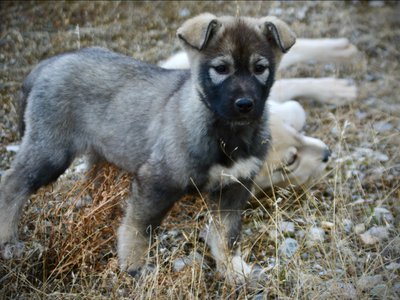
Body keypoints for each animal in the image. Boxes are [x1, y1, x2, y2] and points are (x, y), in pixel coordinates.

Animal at [0, 13, 294, 276]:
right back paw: (8, 240)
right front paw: (134, 266)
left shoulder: (234, 187)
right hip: (50, 152)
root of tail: (50, 63)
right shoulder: (156, 181)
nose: (245, 105)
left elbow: (226, 235)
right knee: (12, 185)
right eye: (221, 69)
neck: (227, 134)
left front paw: (231, 269)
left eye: (260, 69)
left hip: (97, 152)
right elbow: (138, 229)